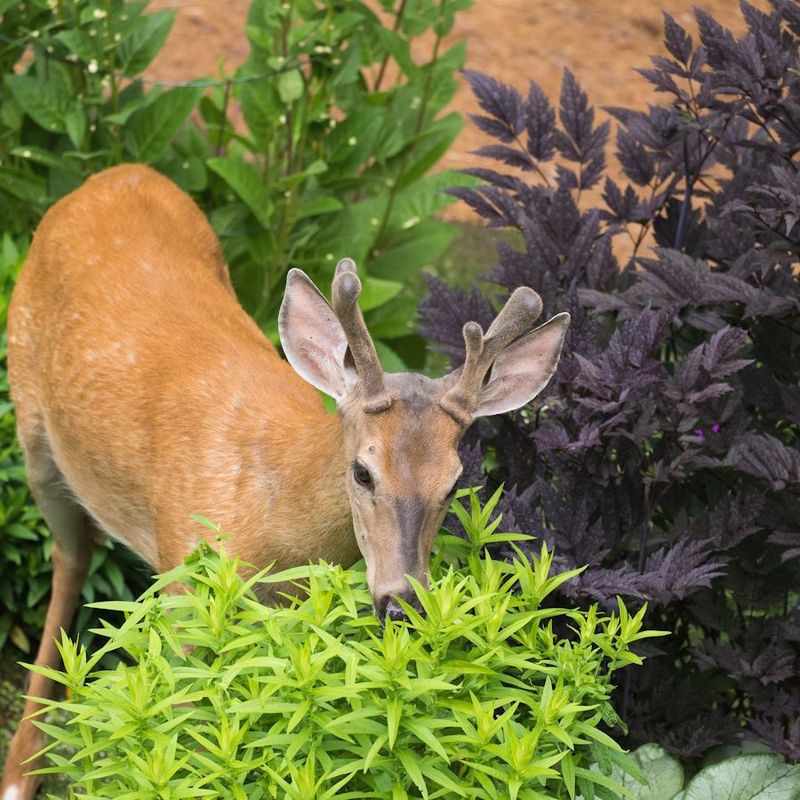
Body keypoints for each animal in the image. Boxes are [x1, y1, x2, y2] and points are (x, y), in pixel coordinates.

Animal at [0, 163, 569, 800]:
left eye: (454, 483)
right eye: (363, 470)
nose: (402, 603)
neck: (270, 513)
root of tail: (118, 172)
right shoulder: (185, 586)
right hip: (31, 416)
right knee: (69, 553)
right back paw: (20, 768)